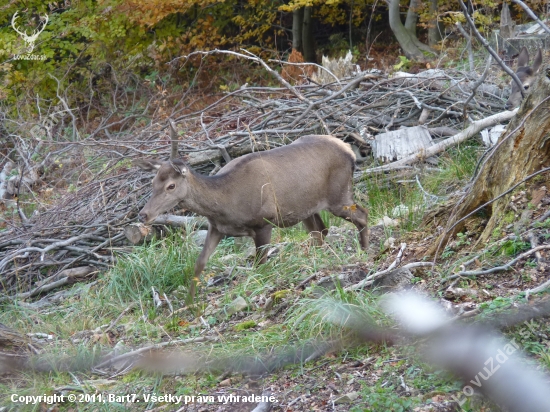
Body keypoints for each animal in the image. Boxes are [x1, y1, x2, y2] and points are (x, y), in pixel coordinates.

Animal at [136, 135, 370, 300]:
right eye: (153, 183)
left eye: (171, 186)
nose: (143, 214)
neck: (226, 202)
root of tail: (349, 151)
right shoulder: (217, 227)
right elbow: (200, 262)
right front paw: (190, 304)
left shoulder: (264, 222)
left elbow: (261, 265)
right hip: (306, 208)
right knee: (320, 231)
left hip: (339, 195)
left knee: (362, 214)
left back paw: (365, 252)